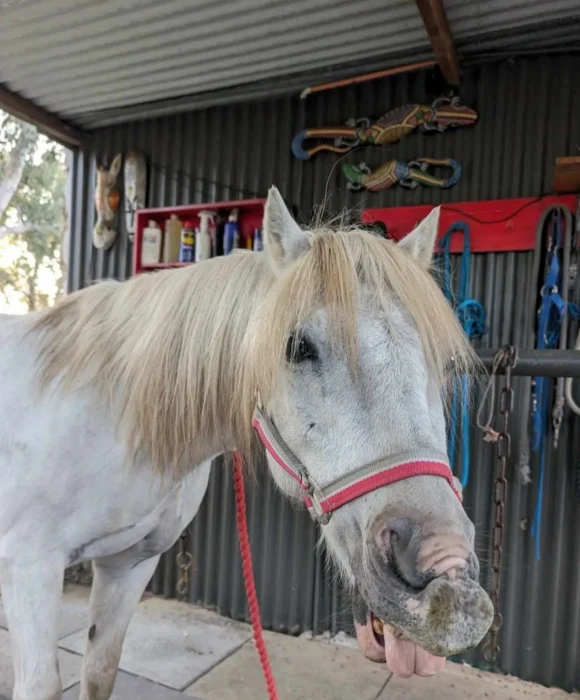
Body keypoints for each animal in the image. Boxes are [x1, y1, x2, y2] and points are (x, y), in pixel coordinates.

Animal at [0, 186, 493, 700]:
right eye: (298, 347)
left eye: (445, 363)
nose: (447, 576)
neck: (113, 420)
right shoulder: (28, 570)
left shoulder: (129, 565)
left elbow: (99, 672)